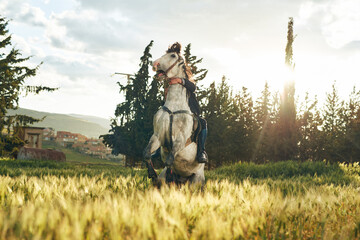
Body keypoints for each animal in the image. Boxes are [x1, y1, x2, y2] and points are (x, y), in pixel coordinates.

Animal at [143, 43, 205, 186]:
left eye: (173, 55)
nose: (155, 64)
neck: (174, 106)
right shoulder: (158, 136)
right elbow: (147, 154)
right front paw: (152, 174)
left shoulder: (180, 140)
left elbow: (170, 160)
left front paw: (170, 177)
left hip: (196, 181)